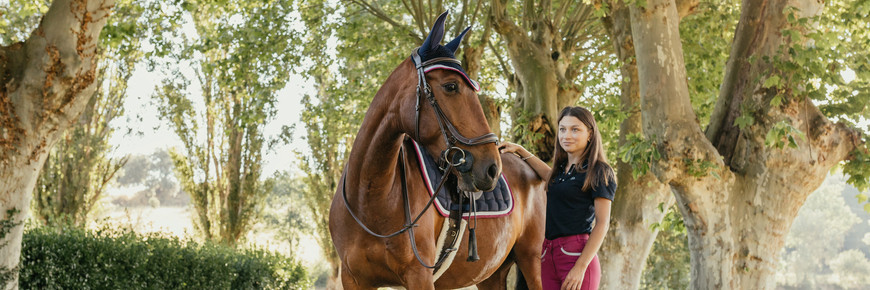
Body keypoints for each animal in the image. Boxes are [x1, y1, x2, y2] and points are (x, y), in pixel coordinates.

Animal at [332, 10, 544, 288]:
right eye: (451, 86)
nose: (492, 168)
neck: (370, 198)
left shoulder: (419, 276)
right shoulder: (353, 278)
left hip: (530, 259)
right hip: (492, 274)